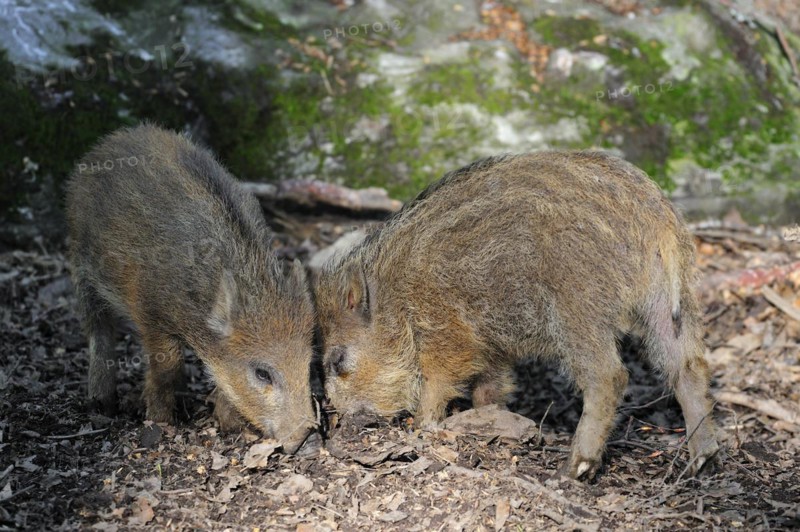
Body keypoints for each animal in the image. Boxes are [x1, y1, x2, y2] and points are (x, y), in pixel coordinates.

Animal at [66, 124, 318, 453]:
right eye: (262, 372)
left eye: (307, 365)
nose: (305, 437)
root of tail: (111, 140)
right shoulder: (150, 313)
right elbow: (167, 368)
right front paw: (160, 422)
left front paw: (229, 426)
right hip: (81, 266)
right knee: (98, 329)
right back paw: (102, 404)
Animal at [315, 151, 719, 479]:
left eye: (337, 361)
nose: (340, 424)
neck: (397, 298)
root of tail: (654, 218)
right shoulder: (492, 349)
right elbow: (490, 389)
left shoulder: (447, 330)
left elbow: (436, 383)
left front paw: (421, 430)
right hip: (667, 301)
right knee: (689, 366)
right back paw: (703, 460)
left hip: (578, 307)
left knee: (610, 376)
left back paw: (573, 469)